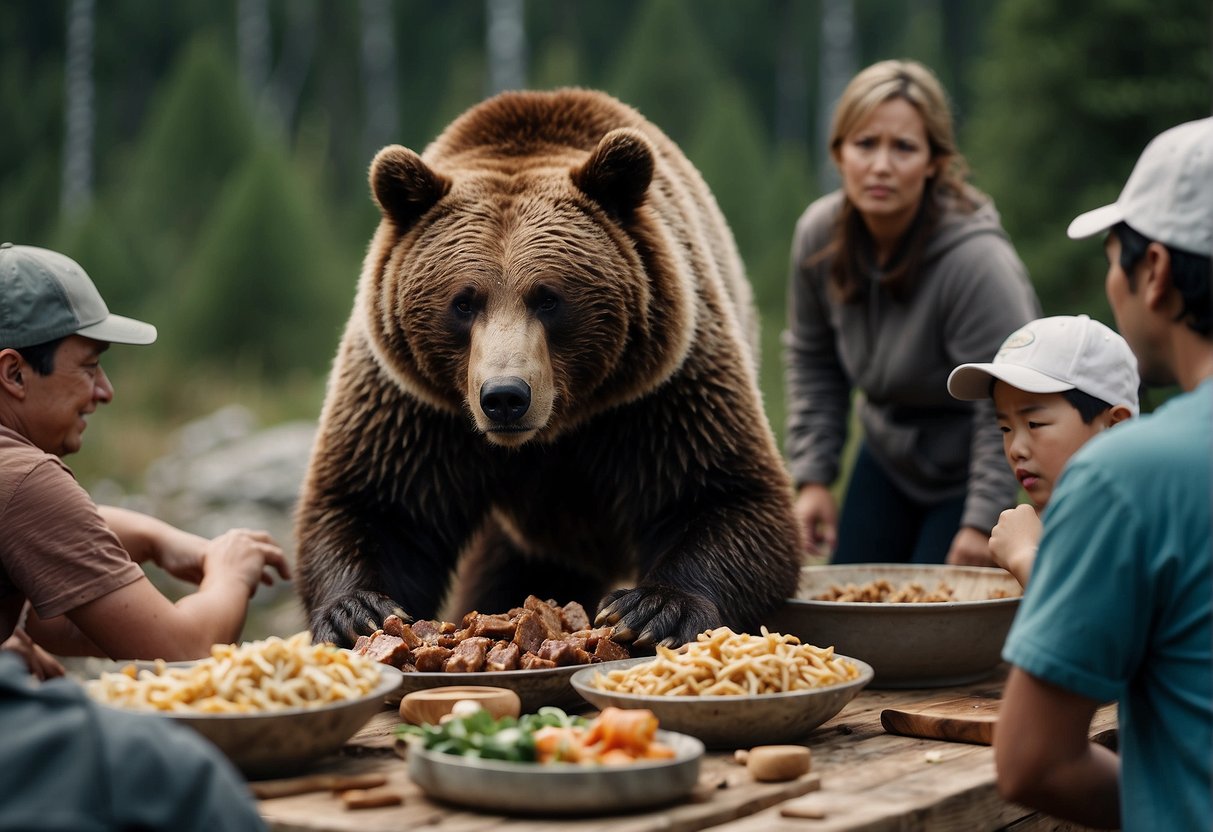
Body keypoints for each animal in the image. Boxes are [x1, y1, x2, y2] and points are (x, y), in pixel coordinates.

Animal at [294, 89, 800, 650]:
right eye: (463, 302)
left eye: (549, 298)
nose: (505, 397)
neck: (555, 430)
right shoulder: (413, 402)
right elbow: (378, 504)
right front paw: (357, 612)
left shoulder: (661, 388)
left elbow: (722, 493)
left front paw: (651, 609)